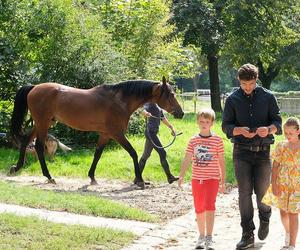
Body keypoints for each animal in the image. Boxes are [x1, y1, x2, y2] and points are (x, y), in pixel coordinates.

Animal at [10, 77, 184, 188]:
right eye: (171, 94)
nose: (180, 113)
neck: (120, 101)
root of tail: (34, 87)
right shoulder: (117, 134)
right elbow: (133, 153)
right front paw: (140, 180)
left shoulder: (105, 134)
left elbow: (97, 154)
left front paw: (92, 177)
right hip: (43, 124)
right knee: (39, 147)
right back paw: (48, 176)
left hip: (42, 124)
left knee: (26, 142)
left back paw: (16, 168)